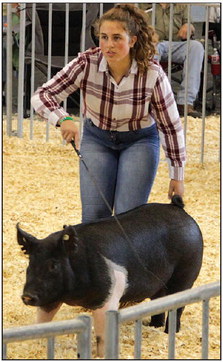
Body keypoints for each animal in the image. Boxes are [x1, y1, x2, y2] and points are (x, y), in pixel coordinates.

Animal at [17, 195, 202, 356]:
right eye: (30, 263)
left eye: (53, 265)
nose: (27, 296)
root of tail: (179, 208)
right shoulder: (50, 296)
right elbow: (42, 321)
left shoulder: (109, 295)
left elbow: (102, 334)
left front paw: (101, 354)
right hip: (159, 283)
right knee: (159, 303)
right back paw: (153, 326)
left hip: (186, 272)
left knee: (177, 306)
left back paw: (169, 332)